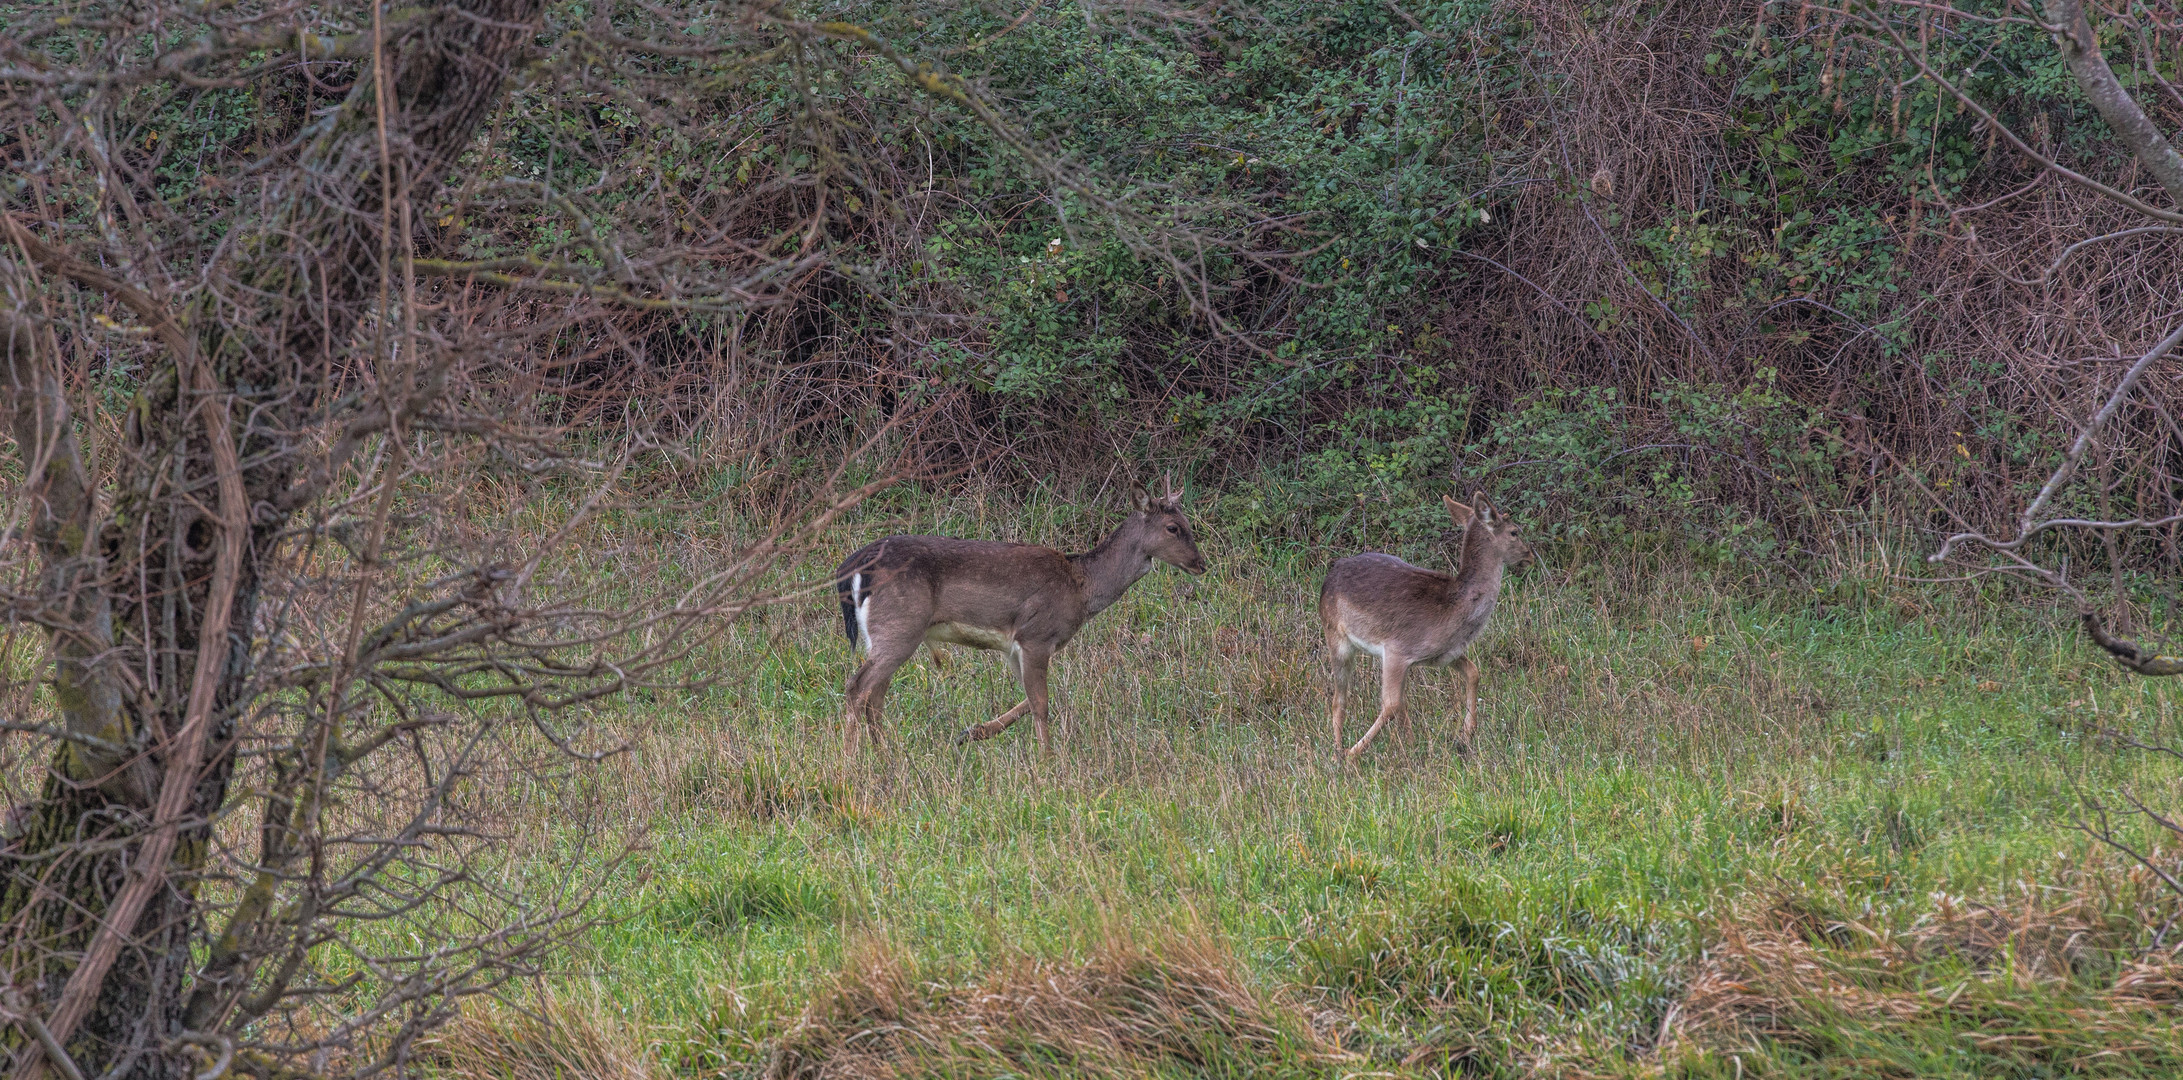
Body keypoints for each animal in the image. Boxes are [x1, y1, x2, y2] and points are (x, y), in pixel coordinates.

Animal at [833, 477, 1213, 754]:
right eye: (1173, 527)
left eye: (1187, 522)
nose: (1201, 564)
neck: (1081, 586)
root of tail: (854, 565)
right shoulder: (1036, 635)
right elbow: (1042, 703)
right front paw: (1047, 760)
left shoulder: (1014, 646)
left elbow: (1029, 701)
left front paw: (972, 732)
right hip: (901, 626)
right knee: (857, 688)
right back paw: (851, 760)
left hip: (885, 633)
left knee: (874, 695)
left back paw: (884, 754)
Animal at [1309, 490, 1536, 759]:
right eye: (1514, 531)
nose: (1531, 556)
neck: (1454, 612)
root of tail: (1330, 575)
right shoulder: (1396, 649)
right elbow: (1390, 705)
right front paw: (1352, 753)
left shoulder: (1443, 654)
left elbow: (1473, 672)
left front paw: (1466, 733)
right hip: (1334, 634)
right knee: (1339, 700)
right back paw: (1337, 750)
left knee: (1397, 701)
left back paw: (1408, 744)